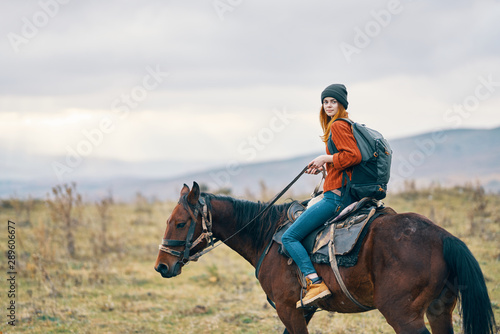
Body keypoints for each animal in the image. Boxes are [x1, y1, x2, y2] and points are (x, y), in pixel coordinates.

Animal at [152, 183, 496, 334]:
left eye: (180, 223)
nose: (162, 266)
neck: (266, 235)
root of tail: (443, 237)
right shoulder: (303, 311)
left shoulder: (289, 309)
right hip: (439, 310)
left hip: (403, 315)